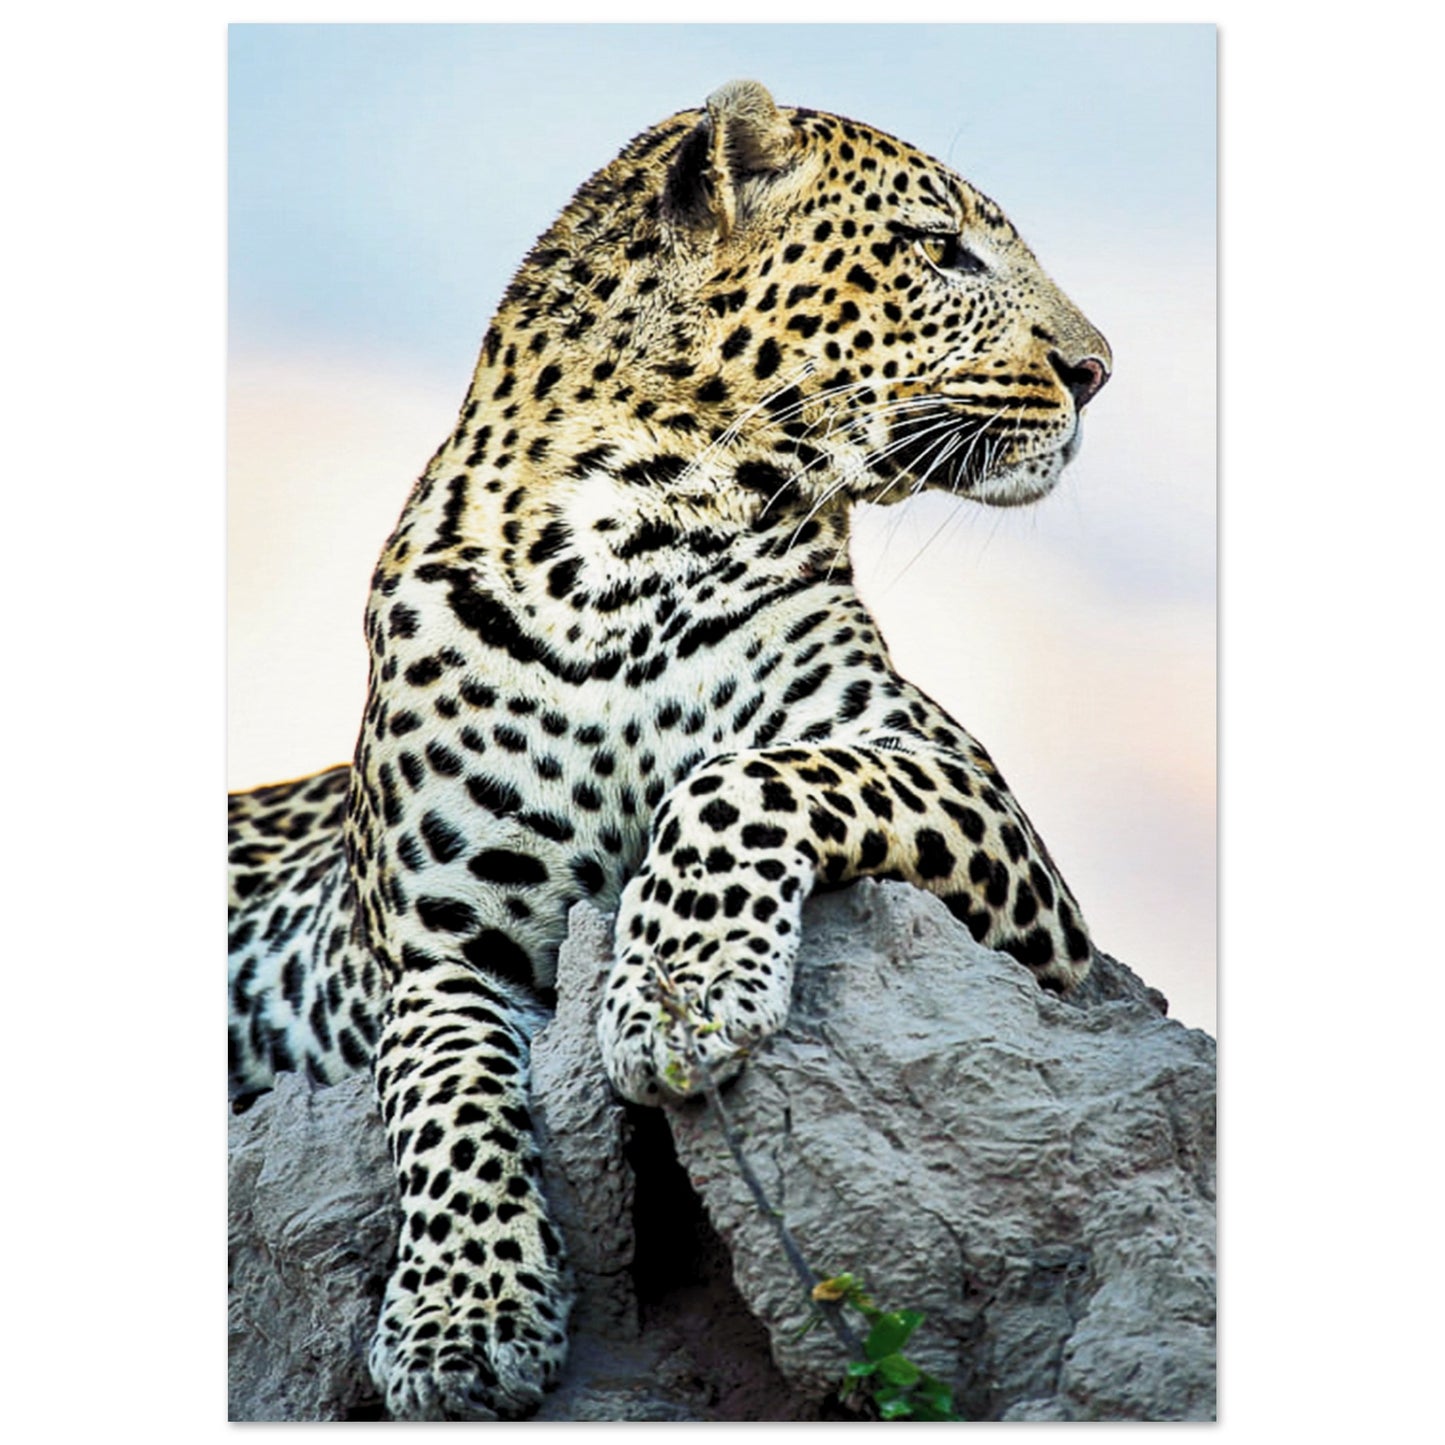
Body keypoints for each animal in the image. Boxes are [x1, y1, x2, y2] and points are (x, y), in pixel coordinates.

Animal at [228, 79, 1111, 1421]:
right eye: (938, 248)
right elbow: (442, 1092)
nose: (1096, 371)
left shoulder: (989, 831)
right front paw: (460, 1322)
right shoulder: (436, 949)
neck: (615, 548)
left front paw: (675, 997)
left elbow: (739, 775)